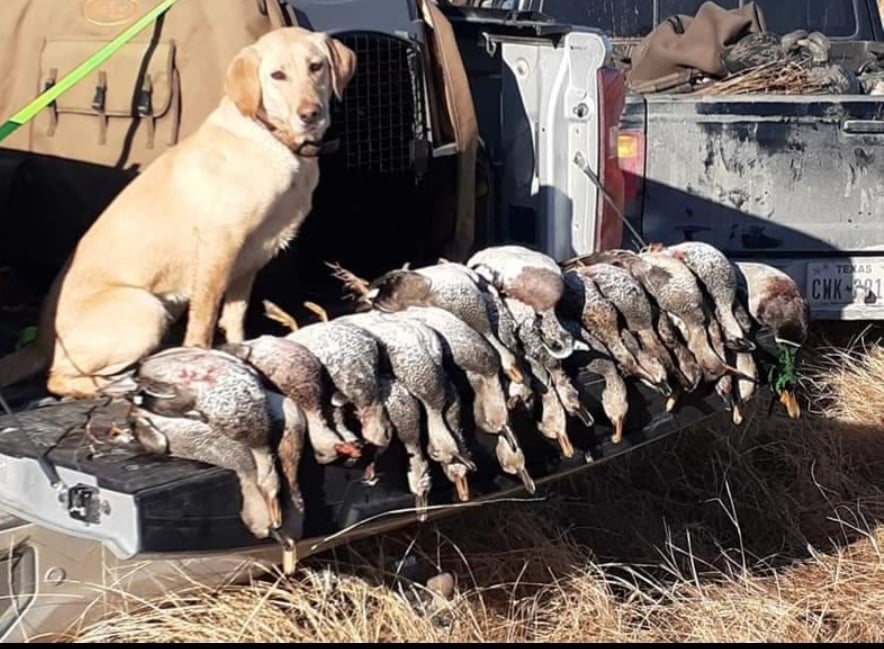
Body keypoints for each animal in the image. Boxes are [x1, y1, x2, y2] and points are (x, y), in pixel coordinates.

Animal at [2, 27, 360, 398]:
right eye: (277, 75)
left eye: (316, 66)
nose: (310, 113)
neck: (272, 138)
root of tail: (40, 342)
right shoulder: (220, 245)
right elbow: (204, 318)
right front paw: (202, 360)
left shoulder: (251, 258)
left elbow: (234, 317)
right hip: (146, 309)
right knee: (56, 378)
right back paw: (115, 385)